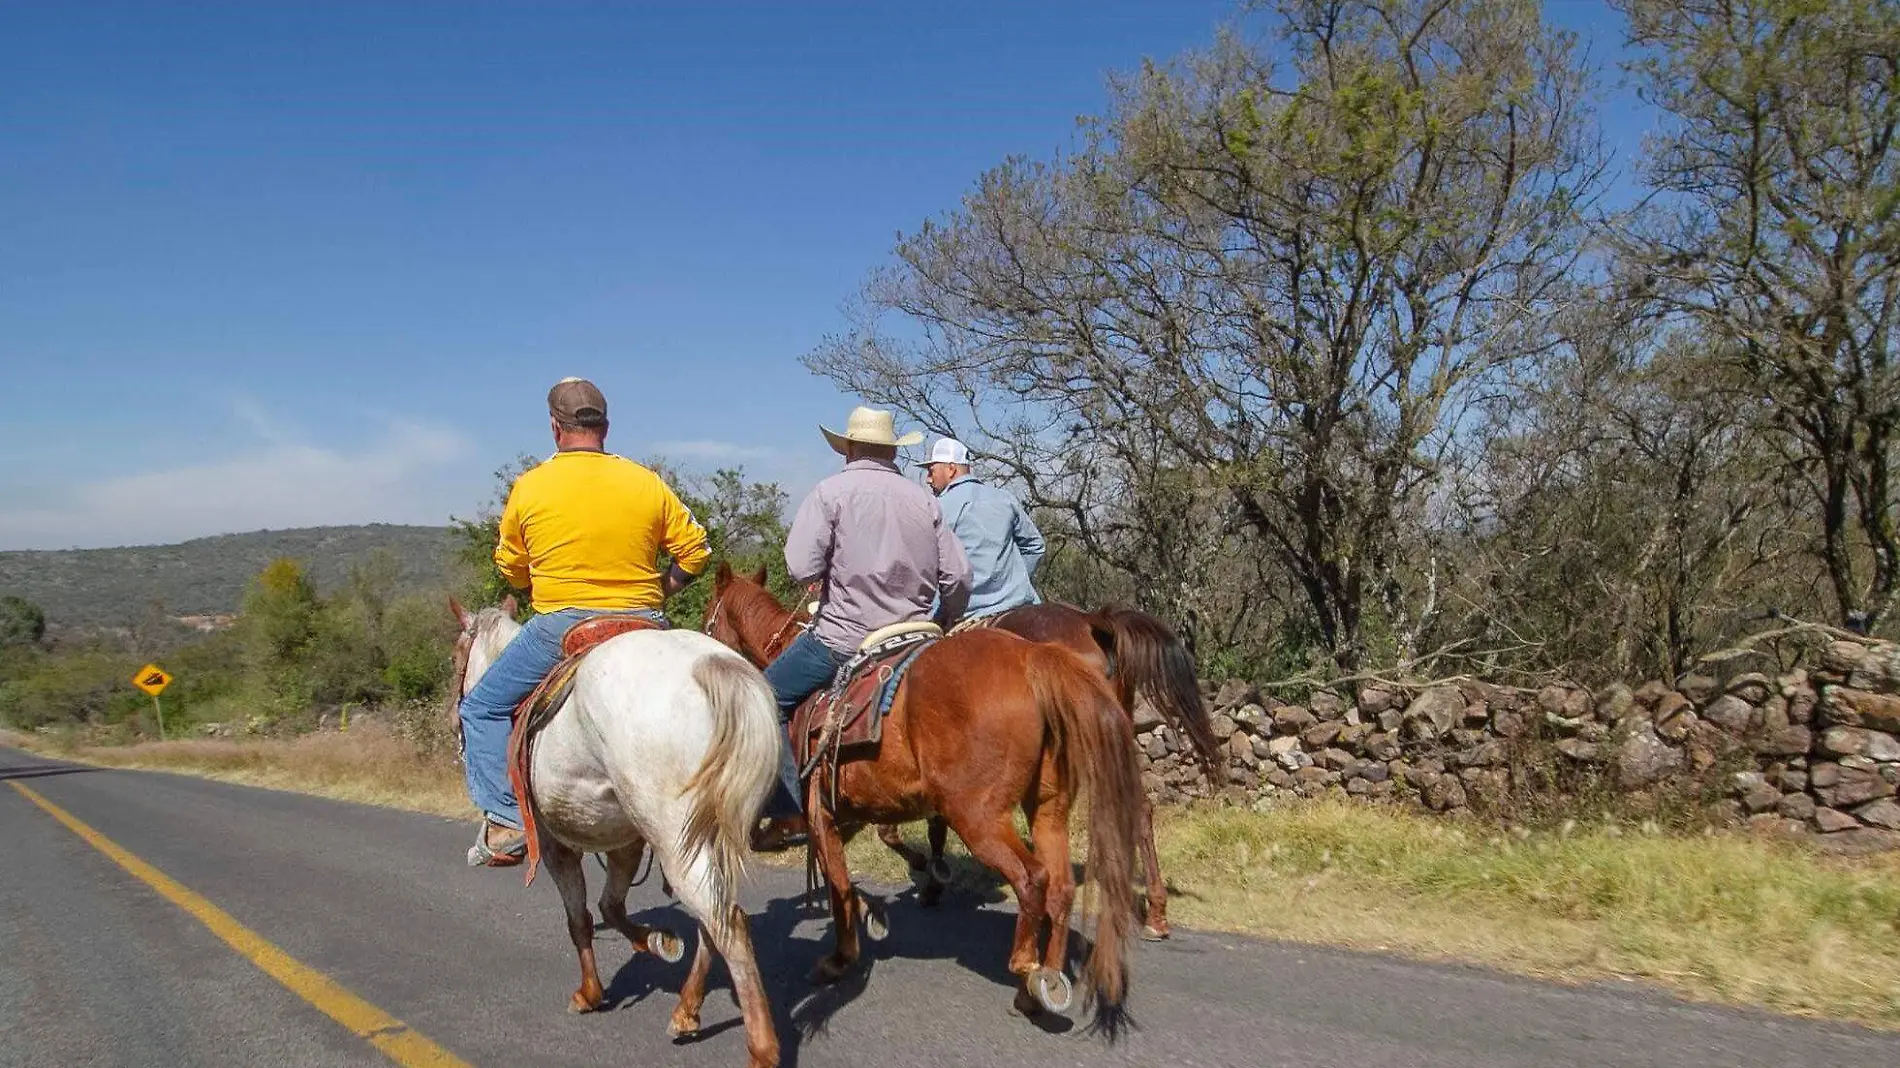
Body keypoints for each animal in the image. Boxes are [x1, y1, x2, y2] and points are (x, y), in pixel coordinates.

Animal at [452, 600, 786, 1064]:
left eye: (455, 658)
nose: (455, 720)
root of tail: (710, 665)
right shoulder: (625, 843)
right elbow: (610, 907)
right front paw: (658, 940)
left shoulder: (556, 848)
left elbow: (579, 919)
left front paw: (591, 993)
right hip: (702, 837)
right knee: (715, 915)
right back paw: (686, 1012)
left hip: (675, 842)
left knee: (728, 927)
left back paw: (761, 1049)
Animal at [699, 562, 1216, 934]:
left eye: (708, 617)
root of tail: (1094, 623)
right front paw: (930, 877)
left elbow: (893, 834)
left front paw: (927, 875)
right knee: (1140, 809)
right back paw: (1155, 912)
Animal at [703, 566, 1132, 1026]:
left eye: (709, 618)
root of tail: (1031, 659)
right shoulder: (849, 813)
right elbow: (845, 873)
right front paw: (877, 909)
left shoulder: (820, 815)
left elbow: (838, 883)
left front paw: (841, 956)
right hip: (1048, 807)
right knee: (1061, 886)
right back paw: (1045, 980)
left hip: (978, 817)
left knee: (1032, 879)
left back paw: (1025, 970)